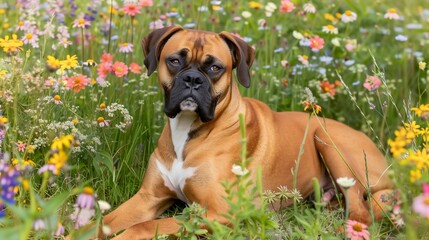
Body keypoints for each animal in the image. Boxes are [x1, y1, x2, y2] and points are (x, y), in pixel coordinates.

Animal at [100, 25, 392, 239]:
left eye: (215, 67)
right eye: (174, 61)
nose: (193, 79)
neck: (189, 128)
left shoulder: (218, 214)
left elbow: (144, 226)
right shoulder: (148, 198)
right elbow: (102, 221)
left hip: (329, 142)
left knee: (361, 212)